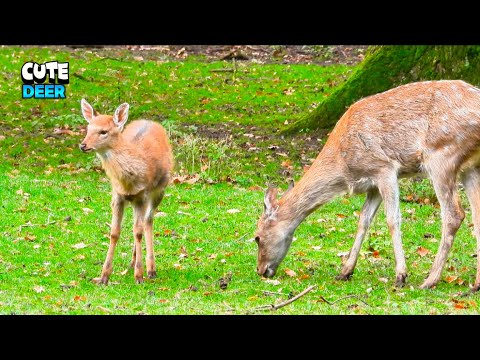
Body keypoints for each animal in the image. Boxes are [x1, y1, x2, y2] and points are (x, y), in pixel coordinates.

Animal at [79, 98, 173, 284]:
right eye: (88, 128)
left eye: (103, 131)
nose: (83, 145)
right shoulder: (117, 195)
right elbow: (114, 232)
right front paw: (104, 276)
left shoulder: (142, 196)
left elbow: (138, 231)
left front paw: (139, 275)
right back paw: (132, 263)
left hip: (160, 190)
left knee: (148, 221)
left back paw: (150, 269)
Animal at [256, 80, 480, 292]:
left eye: (257, 237)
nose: (260, 270)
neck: (343, 165)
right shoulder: (372, 185)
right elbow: (363, 220)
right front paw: (345, 271)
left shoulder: (385, 168)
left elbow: (392, 219)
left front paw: (401, 275)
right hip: (469, 167)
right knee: (476, 215)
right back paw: (475, 284)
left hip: (441, 156)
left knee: (454, 214)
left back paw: (430, 280)